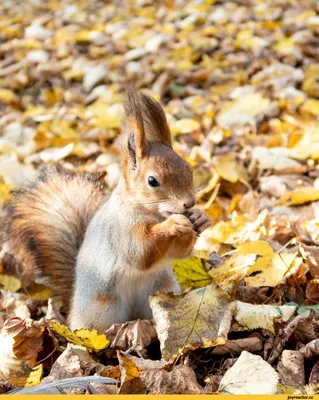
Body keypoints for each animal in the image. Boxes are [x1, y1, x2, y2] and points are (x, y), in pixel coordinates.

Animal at [0, 90, 212, 332]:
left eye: (188, 168)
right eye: (152, 181)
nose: (189, 203)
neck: (149, 213)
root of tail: (73, 306)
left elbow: (178, 253)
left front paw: (200, 218)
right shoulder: (120, 231)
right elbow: (140, 253)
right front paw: (173, 224)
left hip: (160, 289)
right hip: (103, 307)